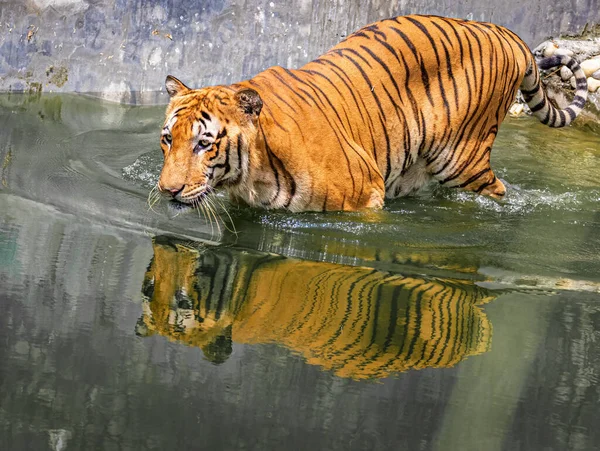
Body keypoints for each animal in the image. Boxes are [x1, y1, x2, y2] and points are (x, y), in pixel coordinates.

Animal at [157, 14, 588, 212]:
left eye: (204, 143)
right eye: (167, 140)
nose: (167, 190)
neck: (253, 174)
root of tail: (506, 32)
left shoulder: (366, 199)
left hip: (462, 160)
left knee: (496, 190)